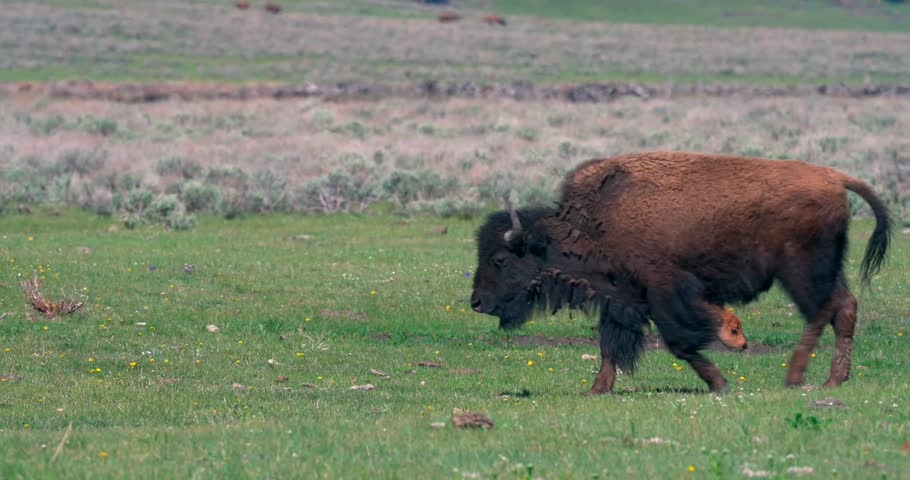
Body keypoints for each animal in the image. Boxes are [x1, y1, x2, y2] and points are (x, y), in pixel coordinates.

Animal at [471, 151, 891, 395]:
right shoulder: (622, 296)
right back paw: (833, 379)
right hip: (824, 269)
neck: (594, 220)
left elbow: (680, 342)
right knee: (844, 307)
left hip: (801, 271)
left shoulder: (664, 291)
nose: (476, 302)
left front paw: (720, 380)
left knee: (823, 311)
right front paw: (597, 389)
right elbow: (610, 344)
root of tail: (837, 178)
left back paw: (796, 376)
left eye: (500, 260)